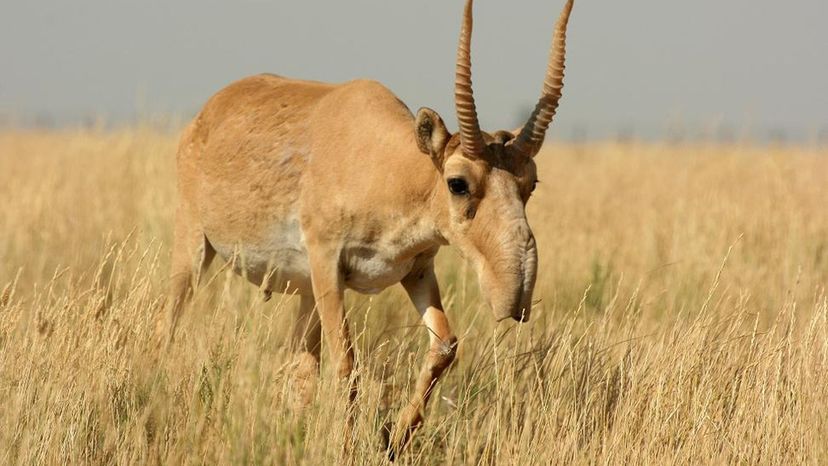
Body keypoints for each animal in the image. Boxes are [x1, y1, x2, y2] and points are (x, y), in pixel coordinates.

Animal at [166, 0, 572, 458]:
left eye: (530, 183)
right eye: (458, 182)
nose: (515, 295)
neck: (387, 165)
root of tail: (209, 111)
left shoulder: (417, 270)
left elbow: (445, 345)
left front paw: (393, 438)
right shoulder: (328, 265)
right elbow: (347, 361)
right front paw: (348, 446)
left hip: (304, 293)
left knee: (299, 366)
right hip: (194, 248)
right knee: (170, 324)